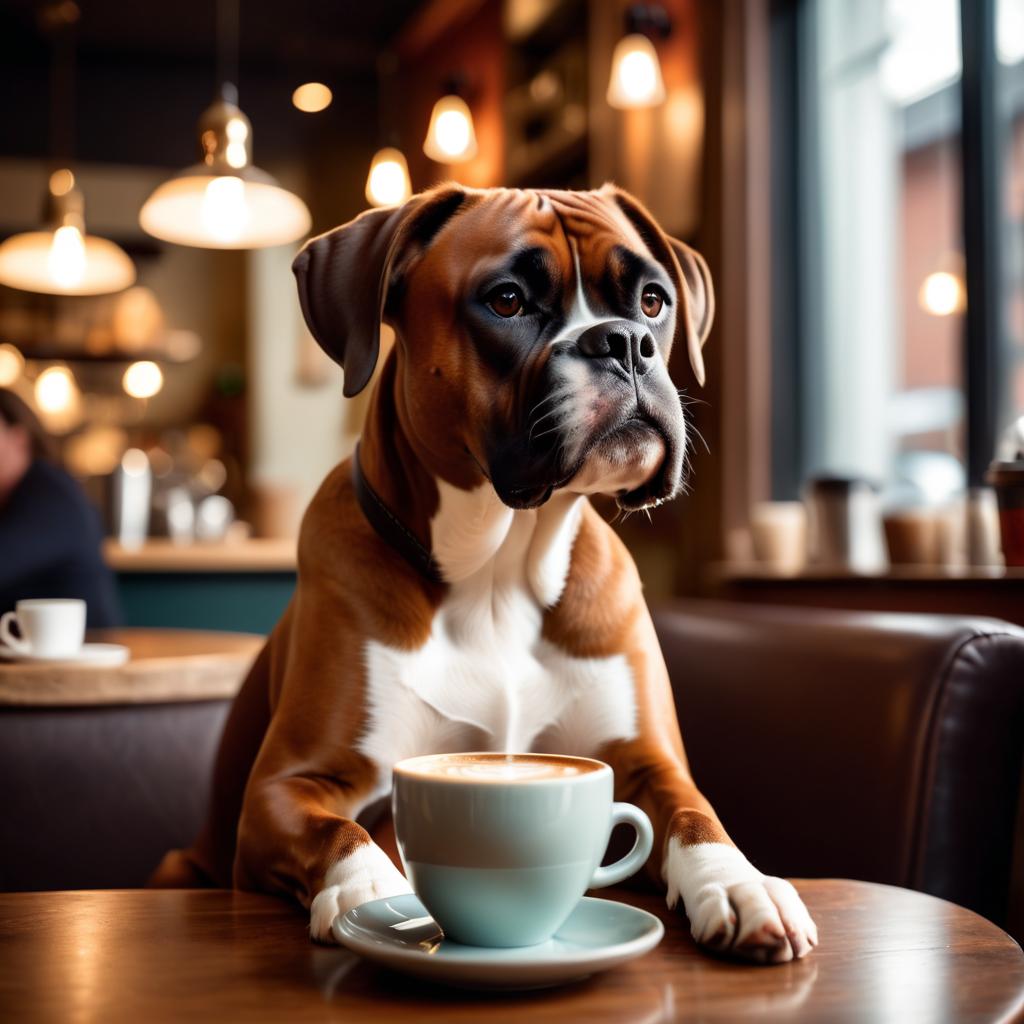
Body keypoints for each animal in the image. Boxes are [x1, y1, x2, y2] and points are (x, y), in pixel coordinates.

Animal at [151, 186, 819, 966]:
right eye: (506, 301)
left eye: (653, 300)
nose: (624, 342)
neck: (500, 572)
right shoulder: (286, 787)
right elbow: (344, 833)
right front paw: (376, 897)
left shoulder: (649, 765)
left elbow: (698, 816)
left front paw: (742, 883)